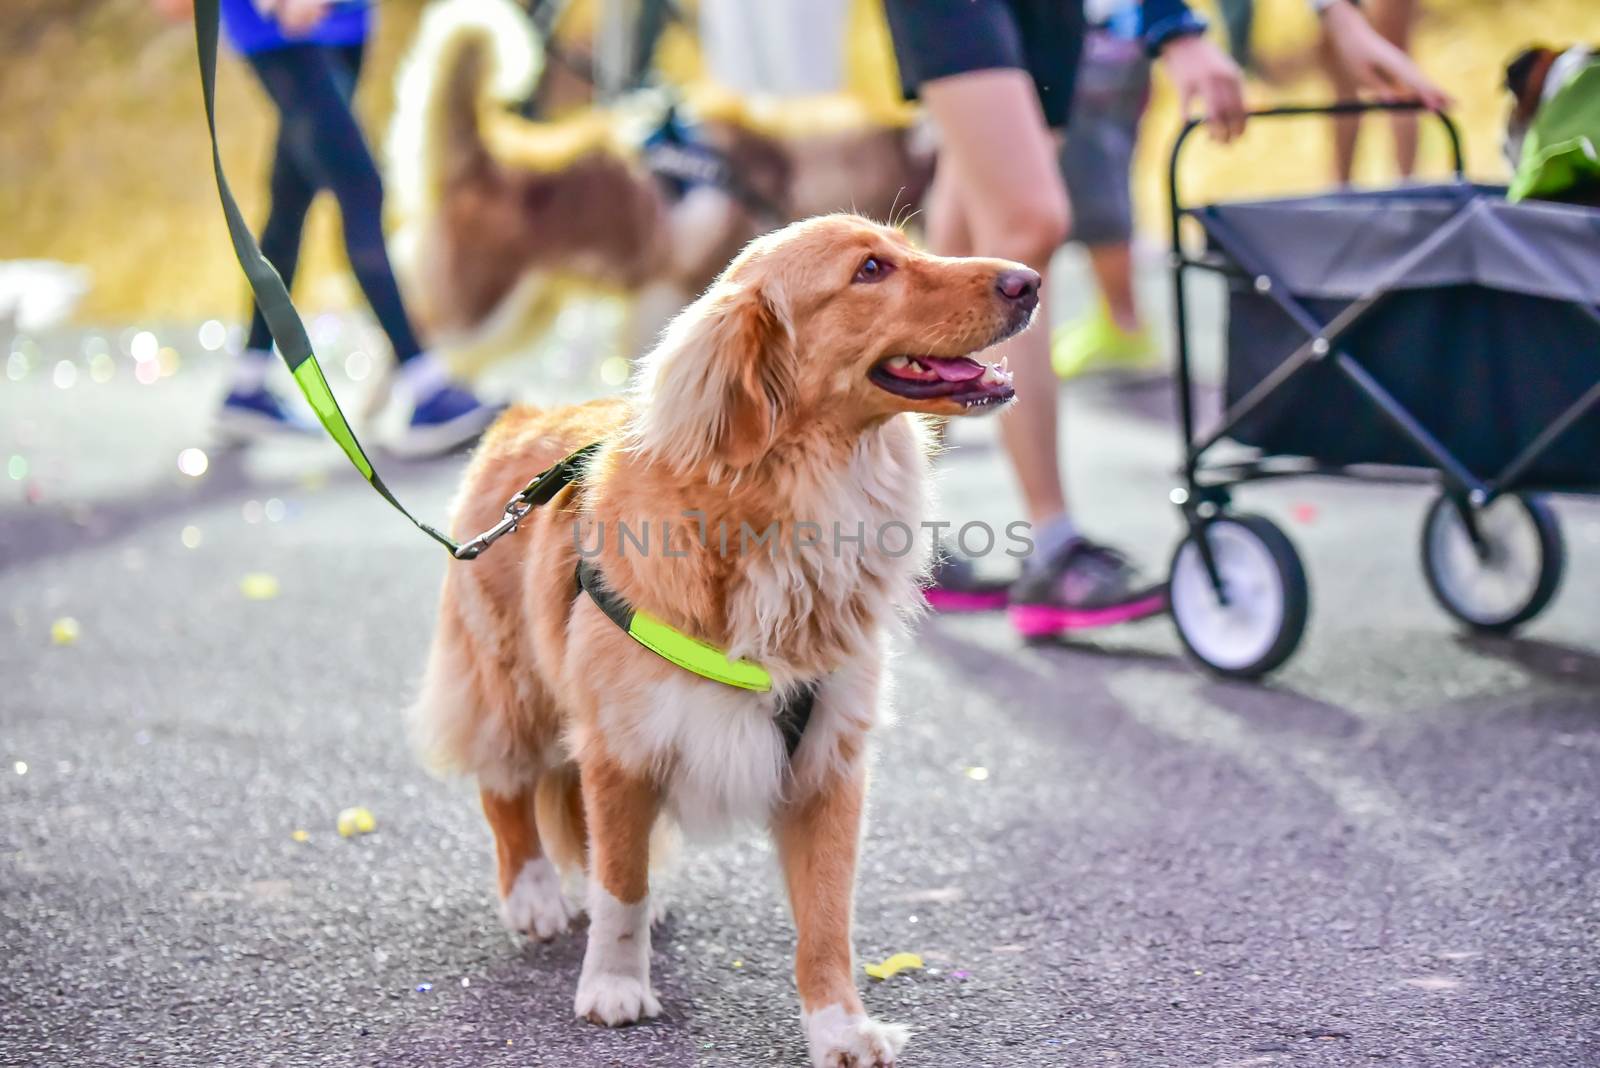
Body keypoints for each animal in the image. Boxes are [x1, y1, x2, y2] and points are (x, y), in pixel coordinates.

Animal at [412, 212, 1036, 1061]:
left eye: (910, 248)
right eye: (871, 270)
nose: (1029, 281)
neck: (800, 498)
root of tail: (524, 416)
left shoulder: (830, 763)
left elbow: (826, 922)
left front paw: (839, 1026)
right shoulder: (622, 747)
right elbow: (619, 884)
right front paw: (614, 985)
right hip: (511, 683)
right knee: (506, 785)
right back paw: (534, 894)